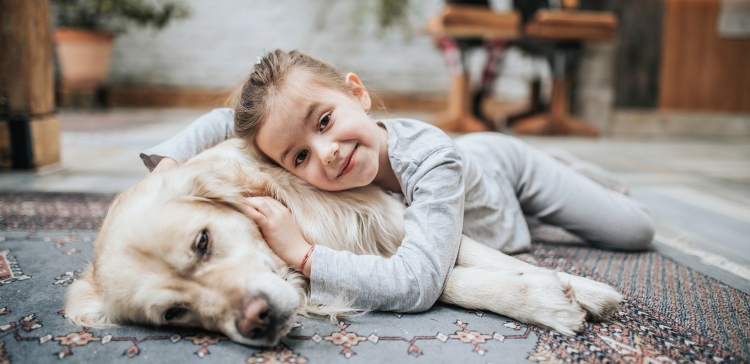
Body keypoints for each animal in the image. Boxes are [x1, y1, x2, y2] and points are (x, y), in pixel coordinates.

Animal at [67, 139, 624, 346]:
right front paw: (550, 297)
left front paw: (583, 291)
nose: (255, 319)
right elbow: (448, 281)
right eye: (173, 314)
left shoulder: (394, 218)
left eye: (202, 242)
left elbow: (467, 262)